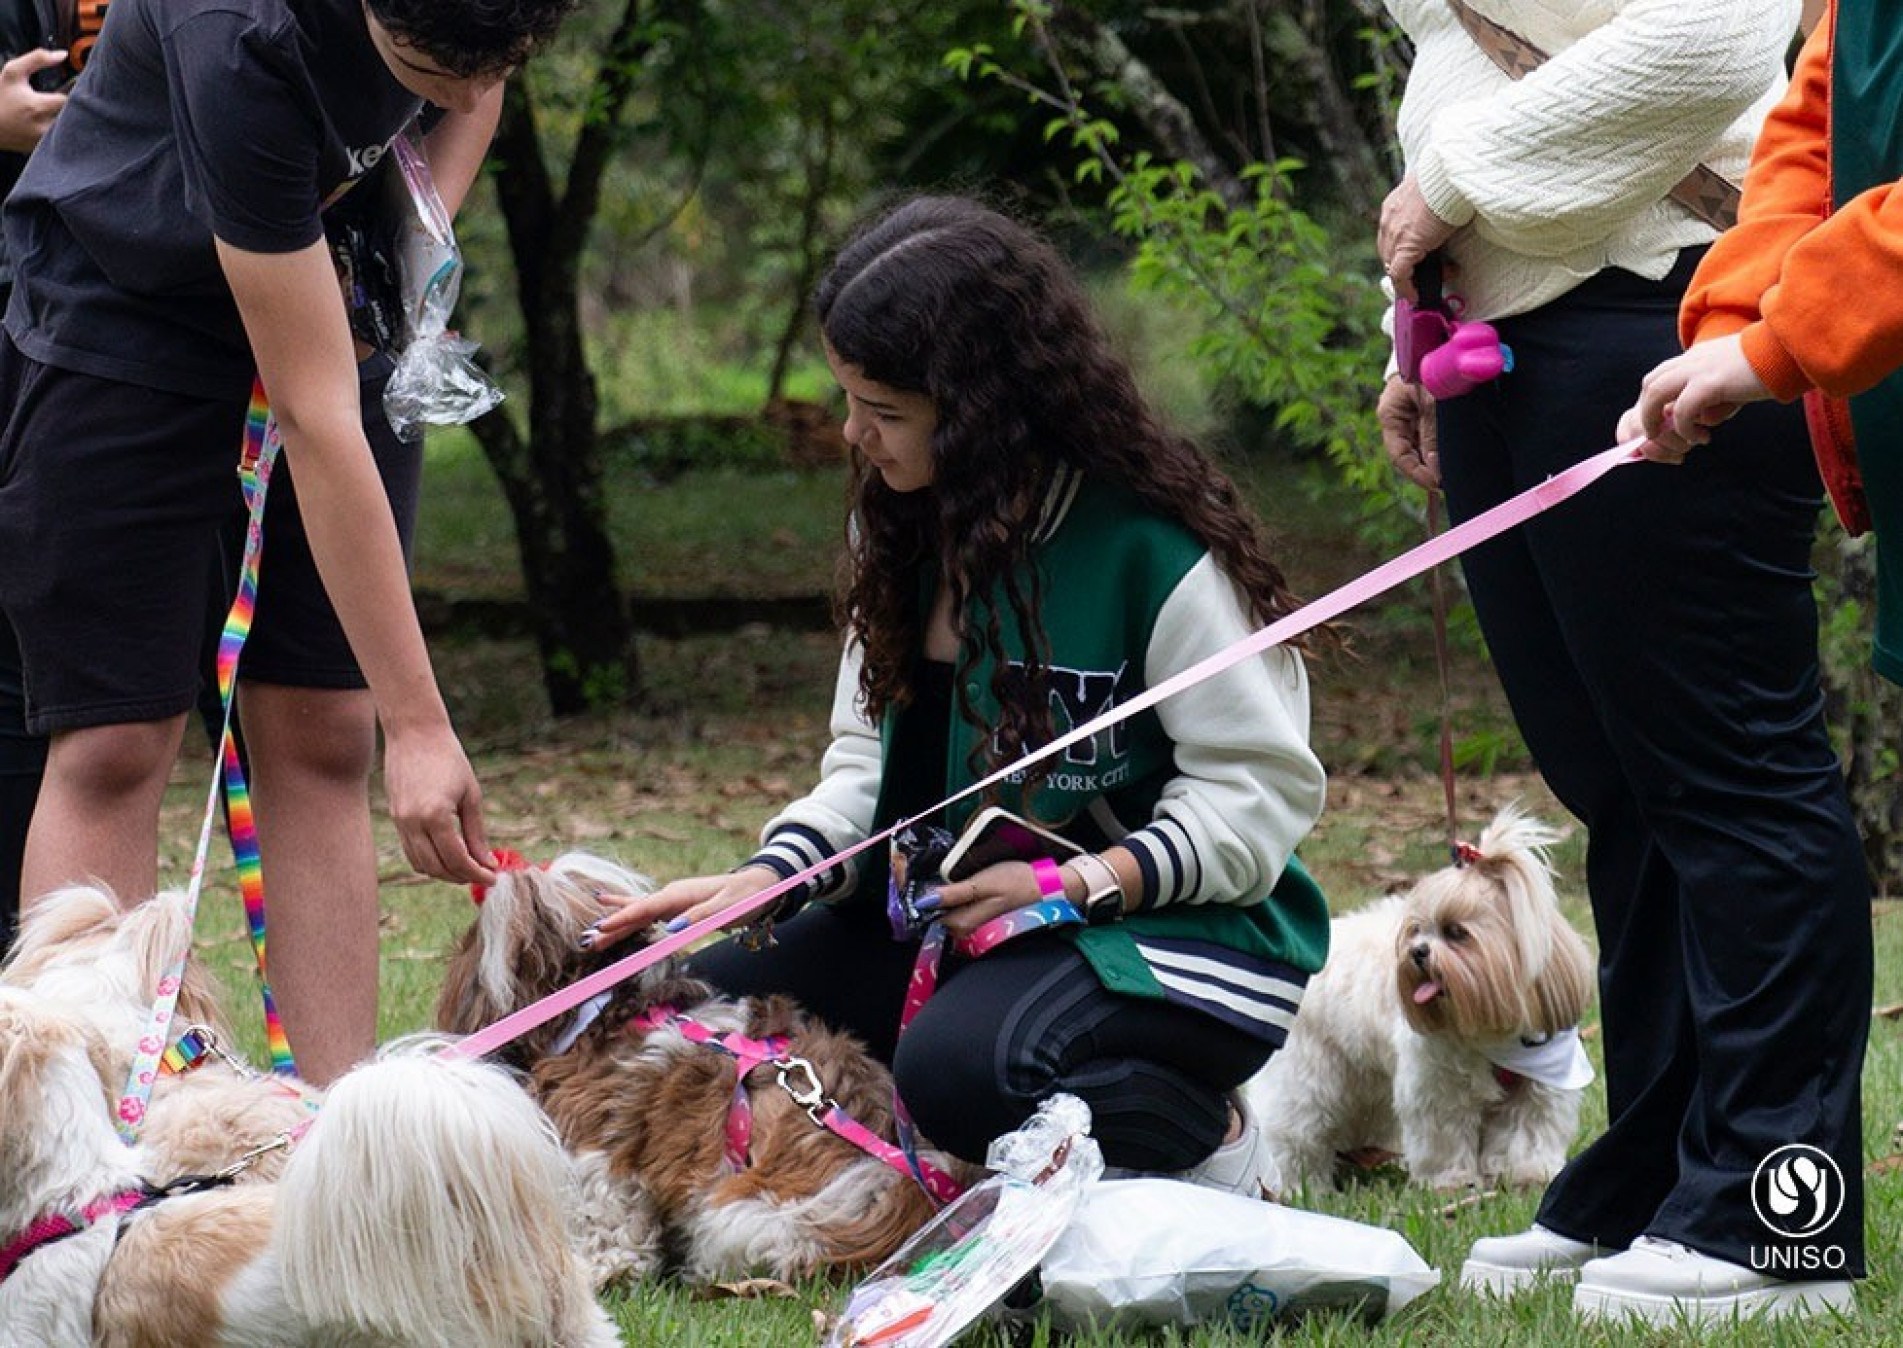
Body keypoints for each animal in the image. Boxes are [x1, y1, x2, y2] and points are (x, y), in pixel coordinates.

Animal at [1240, 807, 1598, 1188]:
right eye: (1415, 929)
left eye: (1456, 932)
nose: (1418, 951)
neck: (1495, 1029)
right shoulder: (1440, 1083)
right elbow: (1446, 1133)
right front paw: (1453, 1182)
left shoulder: (1543, 1085)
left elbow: (1529, 1132)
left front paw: (1529, 1175)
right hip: (1310, 1076)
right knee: (1295, 1130)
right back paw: (1296, 1184)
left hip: (1366, 1085)